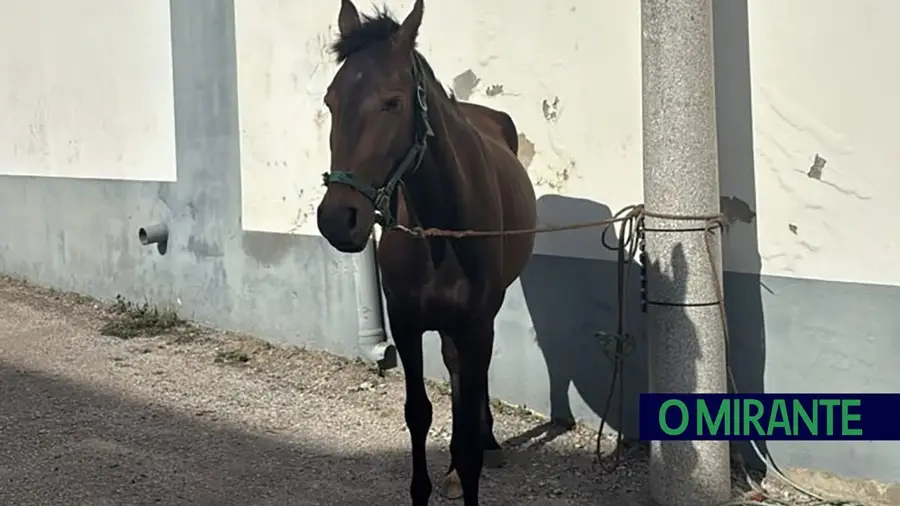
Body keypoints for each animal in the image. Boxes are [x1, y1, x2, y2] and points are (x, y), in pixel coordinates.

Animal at [315, 0, 538, 504]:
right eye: (330, 101)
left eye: (392, 102)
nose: (338, 218)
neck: (441, 228)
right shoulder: (406, 322)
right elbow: (418, 413)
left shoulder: (476, 323)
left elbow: (467, 434)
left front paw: (472, 456)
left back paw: (488, 441)